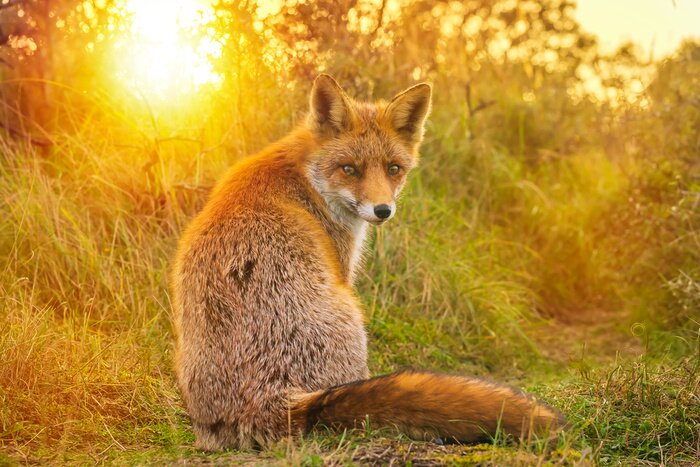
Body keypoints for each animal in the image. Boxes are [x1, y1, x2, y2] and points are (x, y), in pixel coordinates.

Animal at [171, 74, 565, 451]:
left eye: (393, 168)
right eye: (349, 169)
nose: (382, 210)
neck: (304, 176)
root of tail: (273, 403)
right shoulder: (342, 266)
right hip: (351, 312)